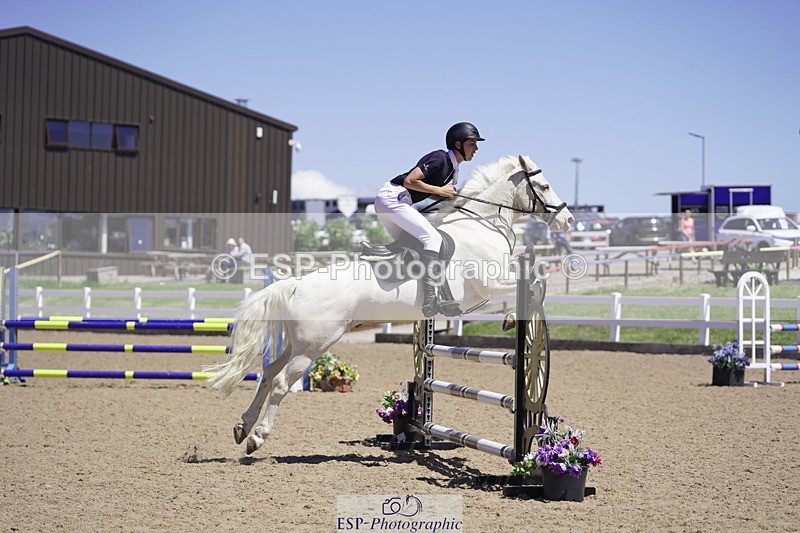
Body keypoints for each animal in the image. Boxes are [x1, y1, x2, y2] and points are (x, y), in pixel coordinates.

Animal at [205, 154, 574, 454]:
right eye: (545, 185)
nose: (568, 221)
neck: (481, 224)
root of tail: (296, 284)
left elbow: (534, 280)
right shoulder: (489, 283)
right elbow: (535, 281)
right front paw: (512, 317)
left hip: (297, 344)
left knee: (267, 375)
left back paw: (242, 427)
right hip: (313, 347)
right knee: (281, 383)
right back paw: (257, 438)